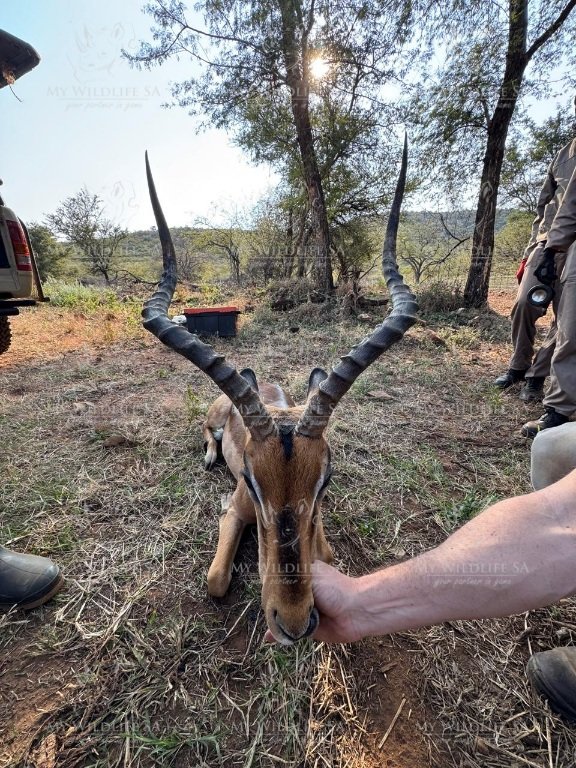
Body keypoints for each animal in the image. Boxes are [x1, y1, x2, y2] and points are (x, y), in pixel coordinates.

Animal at [142, 138, 418, 644]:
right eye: (251, 479)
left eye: (325, 479)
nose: (293, 624)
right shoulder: (235, 513)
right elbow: (215, 579)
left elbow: (325, 555)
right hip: (212, 417)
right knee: (206, 434)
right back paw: (208, 456)